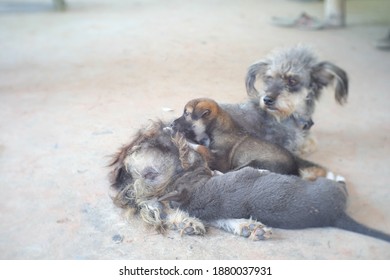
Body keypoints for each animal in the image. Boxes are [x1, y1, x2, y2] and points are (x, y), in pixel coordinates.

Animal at [160, 166, 390, 243]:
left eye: (189, 172)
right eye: (200, 170)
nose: (209, 168)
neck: (199, 194)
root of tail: (335, 216)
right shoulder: (244, 173)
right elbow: (253, 170)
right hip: (331, 189)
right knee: (342, 186)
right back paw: (336, 176)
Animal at [172, 98, 328, 179]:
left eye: (186, 114)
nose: (172, 123)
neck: (215, 128)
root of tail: (295, 170)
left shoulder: (220, 161)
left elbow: (201, 147)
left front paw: (184, 141)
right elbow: (201, 144)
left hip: (254, 161)